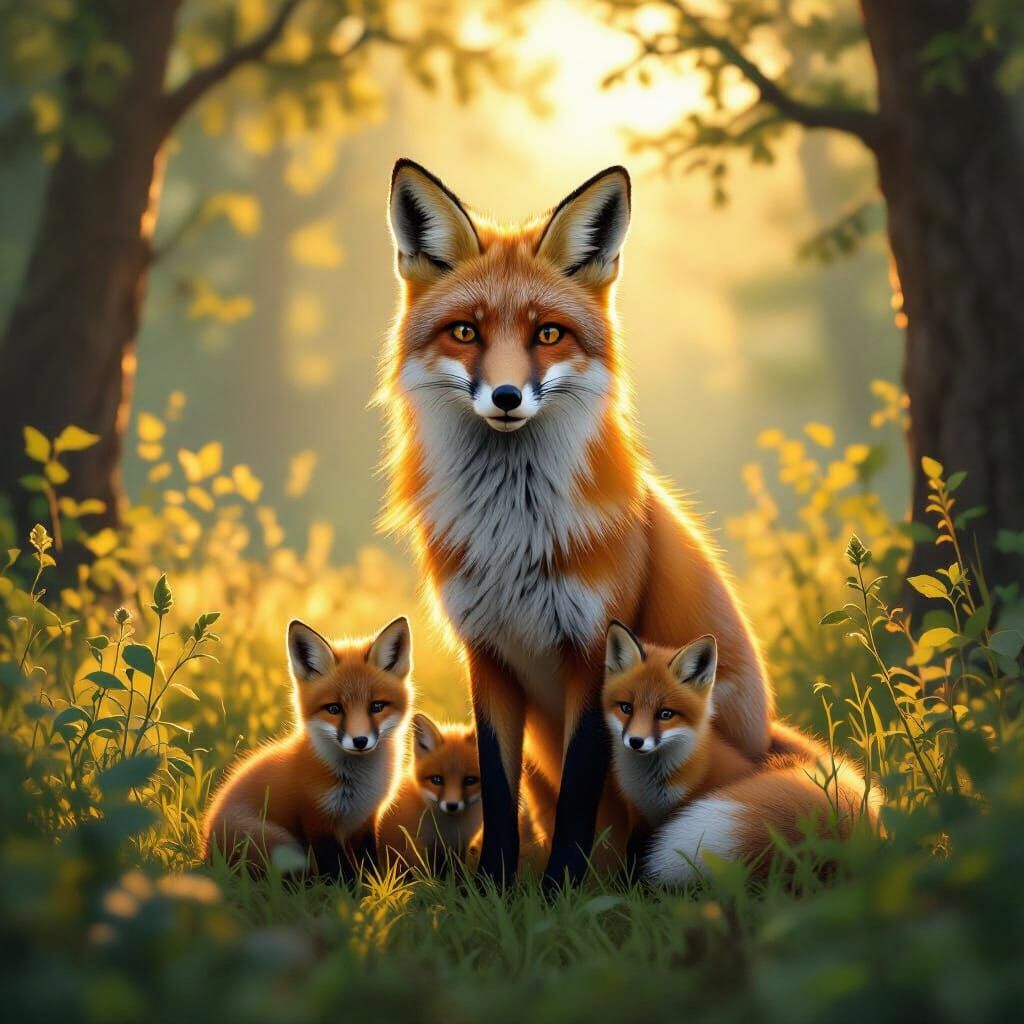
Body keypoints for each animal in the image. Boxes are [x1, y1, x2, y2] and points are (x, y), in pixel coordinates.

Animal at [202, 616, 413, 879]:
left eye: (377, 706)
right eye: (334, 709)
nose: (360, 740)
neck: (359, 784)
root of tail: (205, 854)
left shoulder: (365, 820)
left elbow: (368, 863)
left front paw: (377, 885)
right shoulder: (317, 820)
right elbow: (340, 872)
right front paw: (353, 889)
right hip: (282, 844)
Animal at [378, 713, 550, 871]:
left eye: (470, 780)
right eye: (437, 780)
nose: (452, 805)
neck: (449, 829)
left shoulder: (460, 845)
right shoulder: (415, 843)